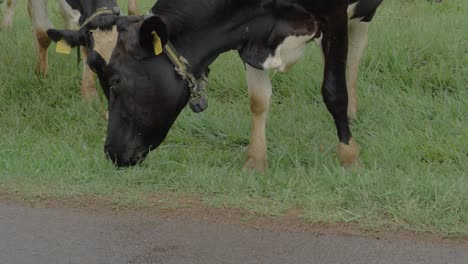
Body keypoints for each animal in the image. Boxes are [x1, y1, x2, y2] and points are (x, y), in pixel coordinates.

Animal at [47, 0, 384, 170]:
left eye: (116, 80)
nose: (112, 152)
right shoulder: (250, 35)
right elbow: (258, 100)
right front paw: (254, 161)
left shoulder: (333, 16)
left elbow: (333, 91)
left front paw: (350, 157)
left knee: (357, 50)